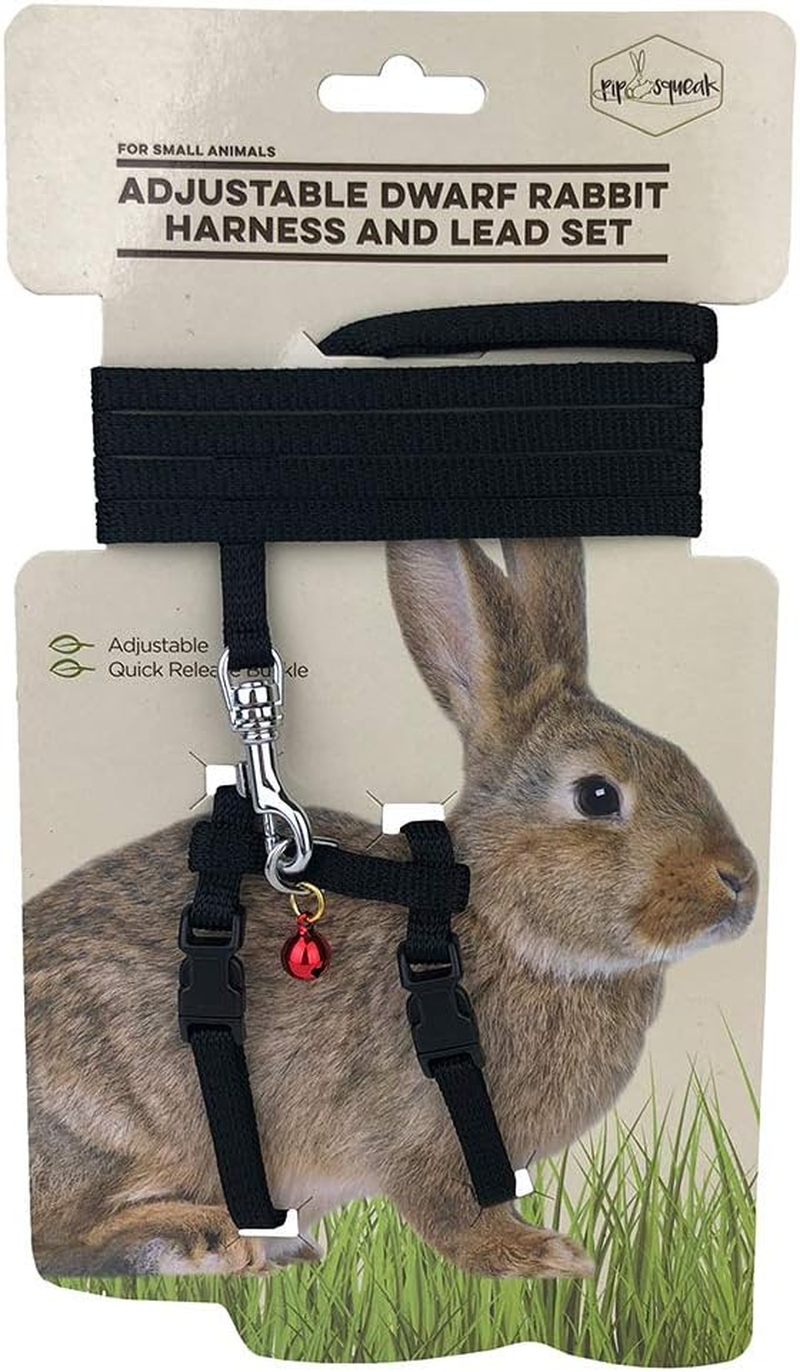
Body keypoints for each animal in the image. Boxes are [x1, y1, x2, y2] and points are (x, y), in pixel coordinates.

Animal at [24, 538, 757, 1280]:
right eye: (598, 796)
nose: (741, 880)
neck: (492, 918)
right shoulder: (422, 1138)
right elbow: (453, 1217)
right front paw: (543, 1256)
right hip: (123, 1116)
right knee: (60, 1237)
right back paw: (201, 1238)